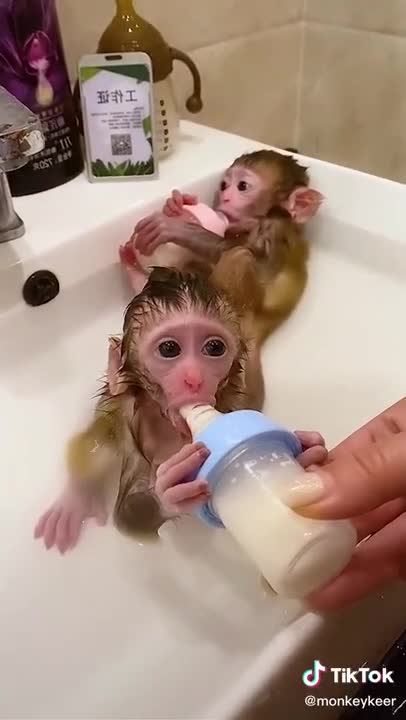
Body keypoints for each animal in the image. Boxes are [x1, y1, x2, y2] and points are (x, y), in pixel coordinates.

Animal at [119, 150, 324, 347]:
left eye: (242, 186)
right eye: (224, 185)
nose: (224, 198)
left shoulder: (277, 227)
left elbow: (262, 268)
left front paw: (182, 227)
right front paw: (174, 204)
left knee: (239, 256)